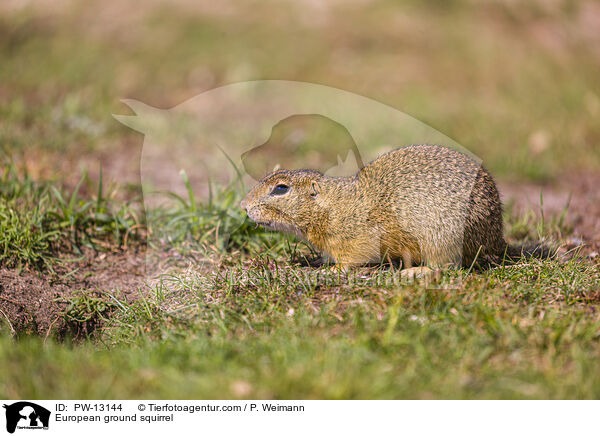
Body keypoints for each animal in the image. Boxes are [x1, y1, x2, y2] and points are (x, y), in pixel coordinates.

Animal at [241, 145, 548, 270]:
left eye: (281, 188)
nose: (243, 205)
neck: (334, 207)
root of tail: (496, 238)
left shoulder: (356, 240)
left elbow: (349, 261)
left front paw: (330, 269)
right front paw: (316, 260)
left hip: (440, 239)